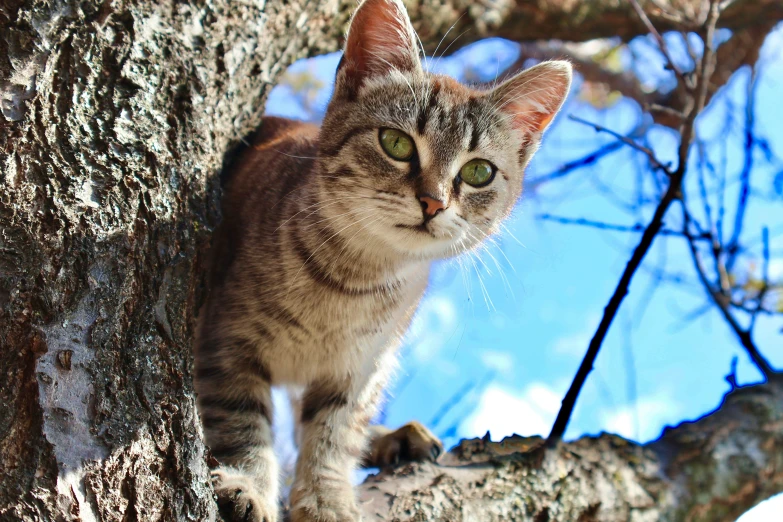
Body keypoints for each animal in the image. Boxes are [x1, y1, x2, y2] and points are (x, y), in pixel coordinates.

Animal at [194, 0, 576, 516]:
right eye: (396, 143)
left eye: (478, 172)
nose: (433, 202)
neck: (351, 281)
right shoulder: (225, 340)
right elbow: (241, 423)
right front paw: (249, 484)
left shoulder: (361, 368)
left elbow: (333, 435)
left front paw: (328, 499)